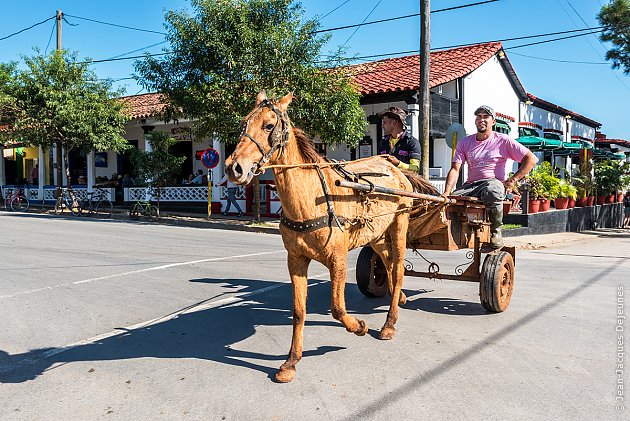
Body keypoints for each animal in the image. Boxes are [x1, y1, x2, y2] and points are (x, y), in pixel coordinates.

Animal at [226, 91, 440, 380]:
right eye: (243, 123)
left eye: (269, 125)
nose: (233, 167)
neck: (312, 197)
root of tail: (395, 168)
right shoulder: (296, 260)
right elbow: (299, 311)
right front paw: (291, 362)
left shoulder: (337, 259)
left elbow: (337, 307)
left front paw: (359, 326)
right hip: (376, 233)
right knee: (387, 262)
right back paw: (400, 296)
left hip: (399, 224)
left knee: (397, 268)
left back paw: (389, 324)